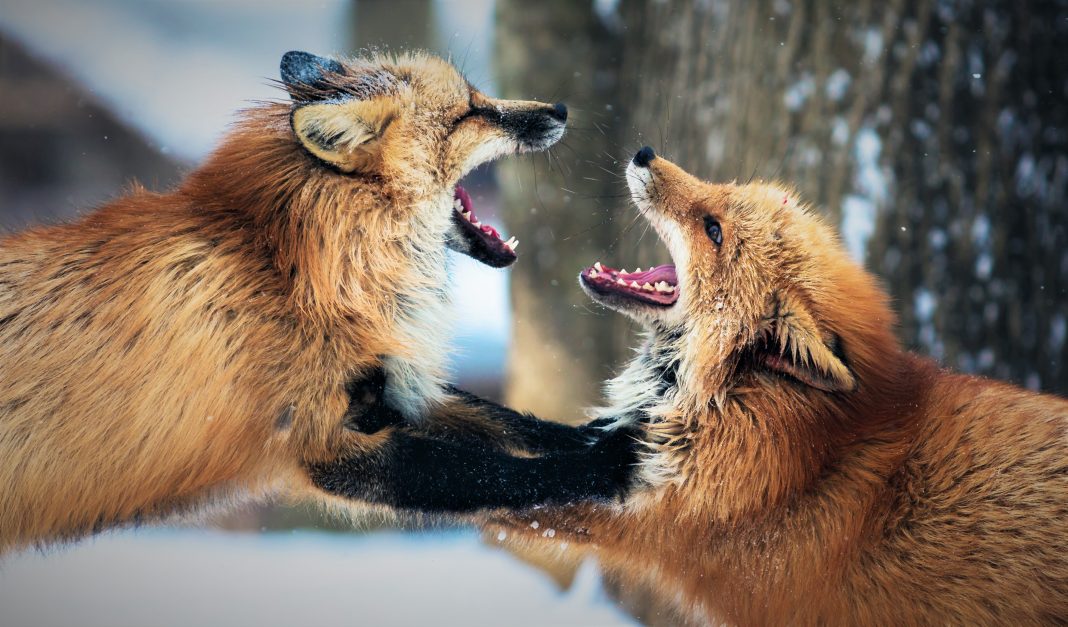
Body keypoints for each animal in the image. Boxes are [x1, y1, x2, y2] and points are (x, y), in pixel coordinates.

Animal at [0, 52, 632, 555]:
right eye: (468, 113)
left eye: (477, 97)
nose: (560, 109)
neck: (294, 272)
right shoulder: (328, 442)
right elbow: (496, 473)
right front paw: (608, 464)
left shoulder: (393, 388)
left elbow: (511, 422)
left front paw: (602, 432)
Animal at [489, 148, 1068, 627]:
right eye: (723, 189)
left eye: (714, 230)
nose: (644, 152)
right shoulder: (626, 451)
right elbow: (526, 429)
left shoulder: (647, 518)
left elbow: (505, 483)